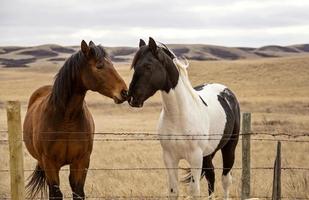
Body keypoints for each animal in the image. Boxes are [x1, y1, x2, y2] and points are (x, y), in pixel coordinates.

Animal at [22, 39, 127, 199]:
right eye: (99, 66)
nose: (125, 92)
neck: (67, 118)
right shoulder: (50, 163)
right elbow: (56, 193)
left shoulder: (81, 162)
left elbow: (78, 192)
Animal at [126, 37, 239, 198]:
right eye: (135, 66)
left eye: (148, 66)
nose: (131, 98)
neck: (178, 116)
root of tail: (226, 91)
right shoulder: (170, 158)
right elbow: (173, 191)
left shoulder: (195, 158)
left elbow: (194, 191)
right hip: (208, 154)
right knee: (211, 176)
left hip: (230, 147)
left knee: (225, 180)